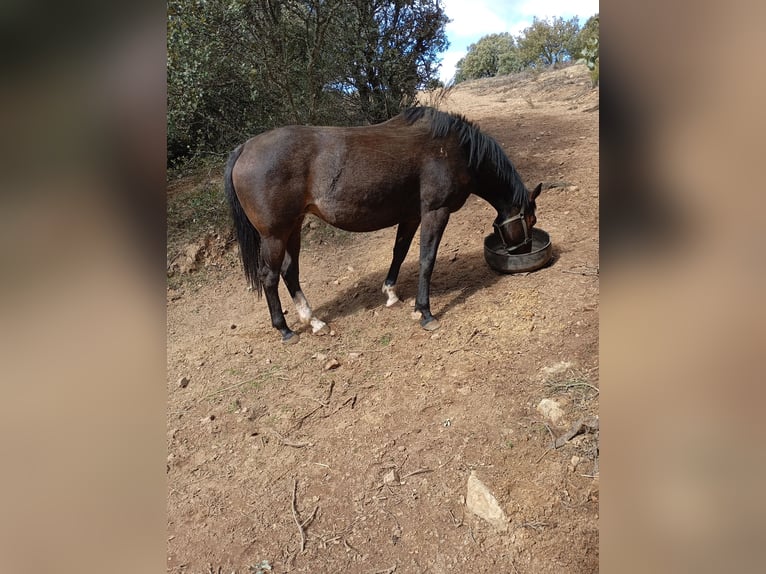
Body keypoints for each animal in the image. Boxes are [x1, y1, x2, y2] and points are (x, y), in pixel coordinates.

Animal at [224, 106, 542, 343]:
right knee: (269, 277)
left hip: (294, 227)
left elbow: (399, 253)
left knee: (290, 272)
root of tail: (244, 148)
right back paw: (285, 329)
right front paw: (425, 312)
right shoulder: (435, 213)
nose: (523, 252)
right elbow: (427, 259)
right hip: (275, 235)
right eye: (531, 219)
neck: (455, 149)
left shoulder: (411, 216)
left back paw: (313, 321)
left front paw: (390, 294)